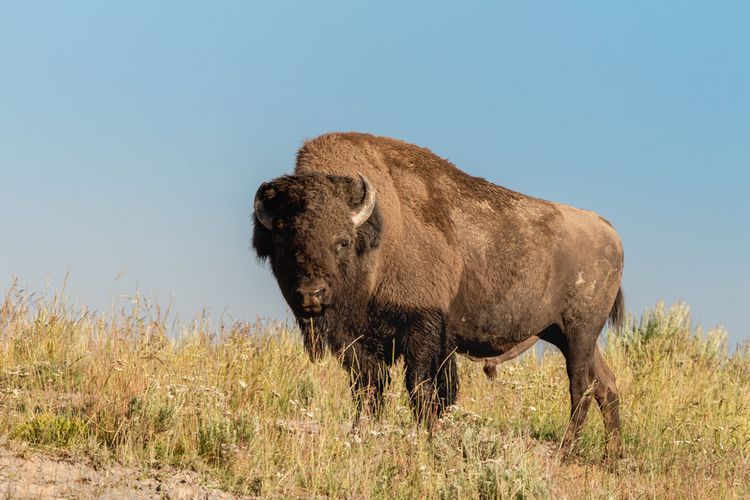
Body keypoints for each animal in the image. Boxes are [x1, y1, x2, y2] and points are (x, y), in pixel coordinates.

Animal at [252, 132, 624, 459]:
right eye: (283, 241)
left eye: (341, 241)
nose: (311, 293)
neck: (381, 234)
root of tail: (609, 232)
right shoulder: (357, 341)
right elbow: (369, 388)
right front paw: (362, 435)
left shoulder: (422, 327)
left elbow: (421, 386)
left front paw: (424, 435)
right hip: (564, 334)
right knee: (606, 385)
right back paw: (612, 457)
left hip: (579, 332)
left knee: (581, 386)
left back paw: (566, 450)